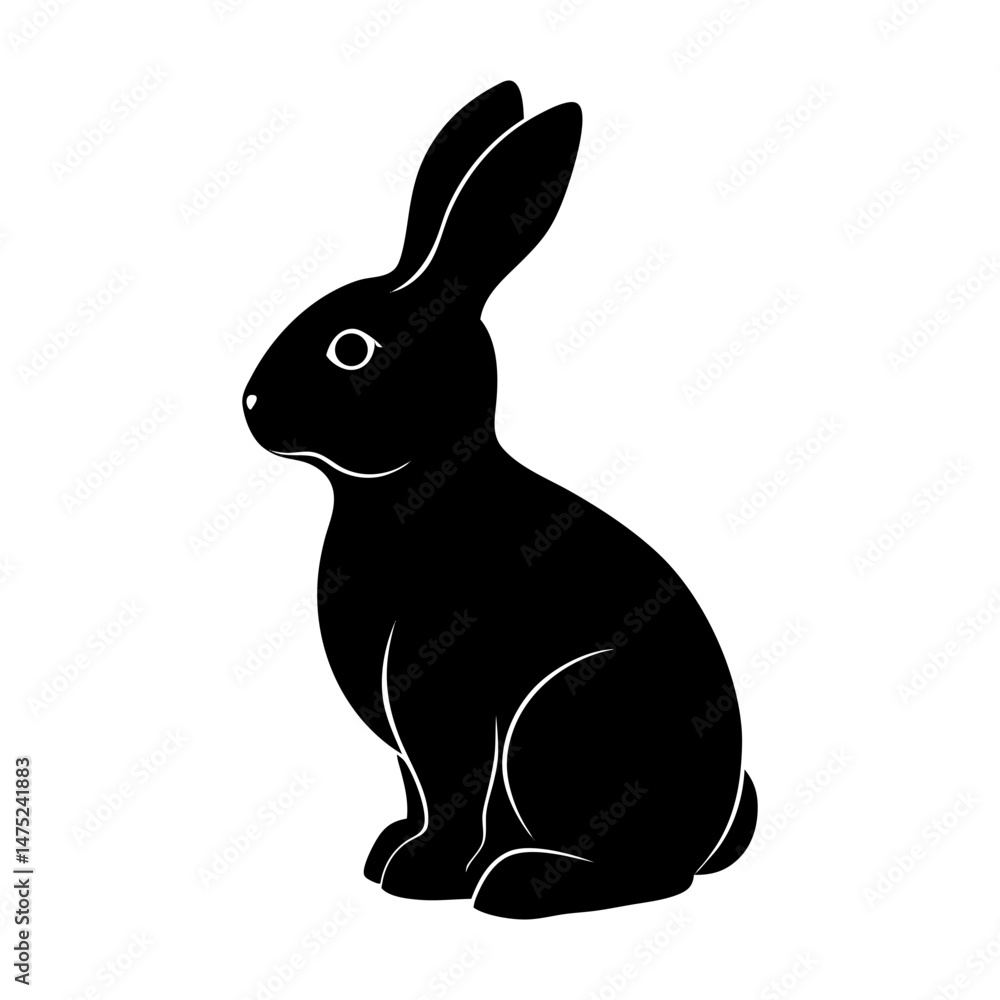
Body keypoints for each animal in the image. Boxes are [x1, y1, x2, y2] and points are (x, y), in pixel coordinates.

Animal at [243, 81, 756, 919]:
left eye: (351, 349)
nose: (252, 404)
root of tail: (711, 833)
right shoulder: (406, 740)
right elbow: (417, 794)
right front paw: (389, 853)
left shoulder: (440, 689)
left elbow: (452, 791)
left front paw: (420, 876)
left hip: (563, 722)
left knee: (648, 873)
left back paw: (516, 884)